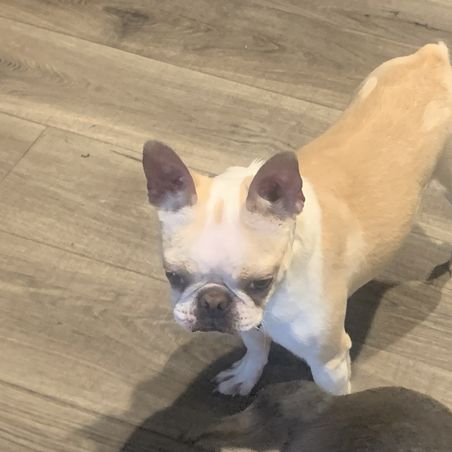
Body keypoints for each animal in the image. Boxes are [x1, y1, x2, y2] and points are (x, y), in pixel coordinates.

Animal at [142, 43, 452, 396]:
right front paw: (246, 375)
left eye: (260, 282)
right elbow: (256, 347)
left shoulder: (329, 362)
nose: (213, 301)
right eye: (173, 275)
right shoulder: (250, 321)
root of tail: (432, 56)